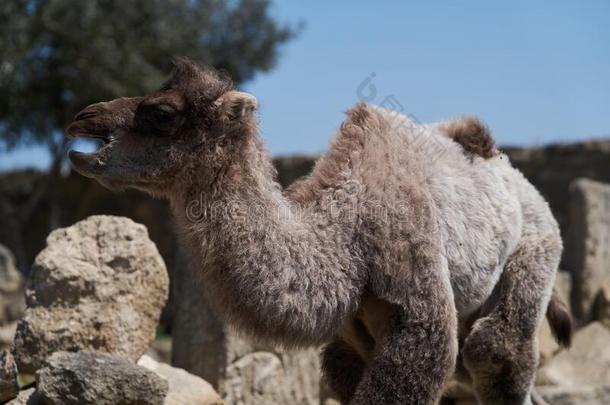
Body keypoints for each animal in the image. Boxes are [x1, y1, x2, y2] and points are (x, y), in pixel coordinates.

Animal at [67, 58, 568, 402]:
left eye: (162, 113)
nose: (83, 118)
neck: (346, 242)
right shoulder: (347, 346)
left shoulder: (417, 306)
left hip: (536, 251)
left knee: (494, 346)